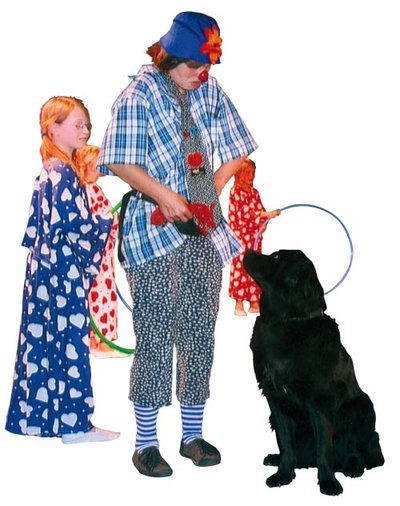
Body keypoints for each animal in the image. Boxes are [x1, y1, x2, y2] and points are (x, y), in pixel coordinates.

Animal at [243, 249, 384, 496]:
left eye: (277, 257)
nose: (248, 251)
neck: (286, 321)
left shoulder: (321, 401)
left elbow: (324, 449)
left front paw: (328, 482)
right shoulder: (276, 400)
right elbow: (286, 443)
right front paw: (283, 474)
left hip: (362, 406)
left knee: (355, 445)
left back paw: (353, 466)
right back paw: (276, 459)